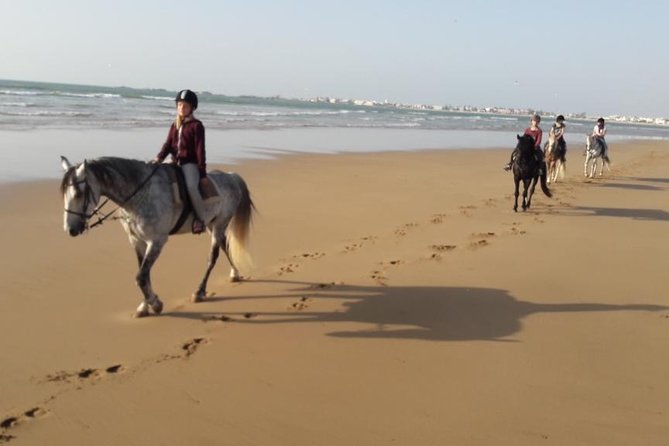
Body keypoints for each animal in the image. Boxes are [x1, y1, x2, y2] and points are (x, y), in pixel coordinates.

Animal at [60, 156, 254, 318]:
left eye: (78, 194)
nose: (70, 229)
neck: (140, 195)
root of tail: (231, 176)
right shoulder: (137, 241)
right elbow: (144, 275)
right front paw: (144, 306)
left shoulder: (156, 241)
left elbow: (141, 277)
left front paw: (155, 304)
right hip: (211, 225)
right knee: (224, 245)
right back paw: (234, 274)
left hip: (220, 223)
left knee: (212, 257)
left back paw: (199, 292)